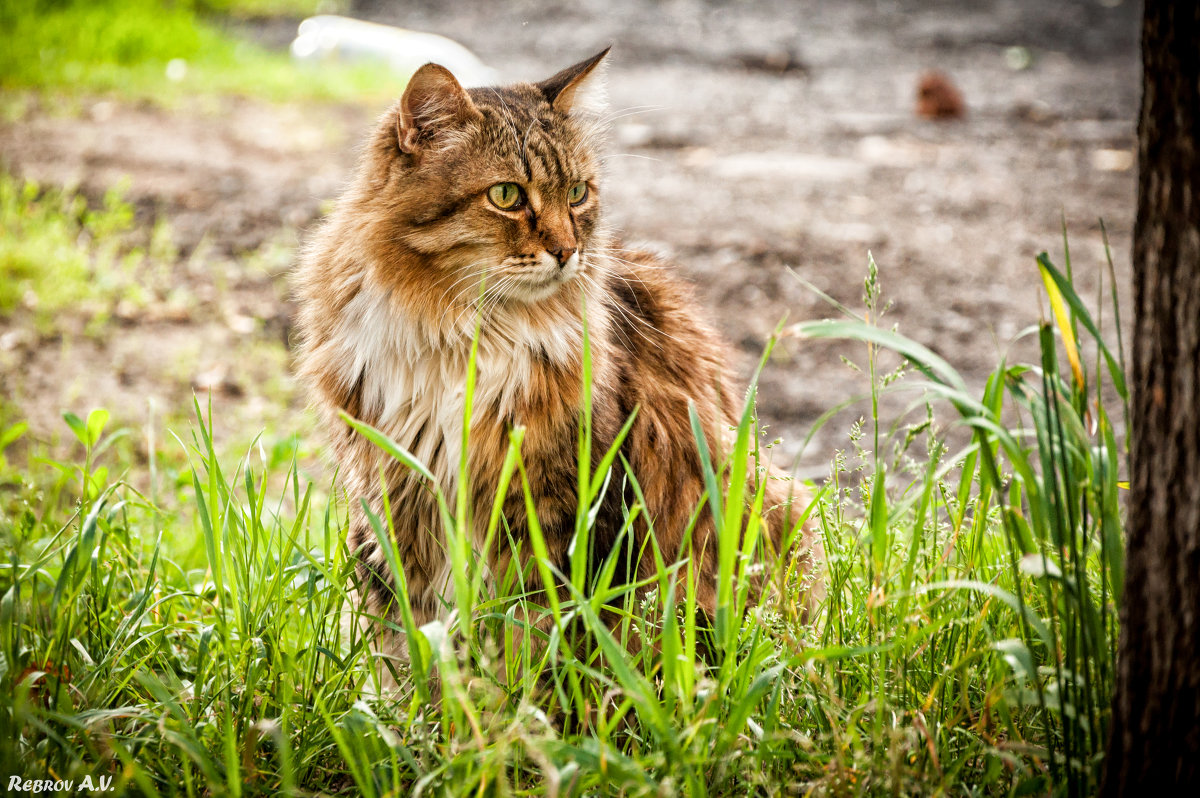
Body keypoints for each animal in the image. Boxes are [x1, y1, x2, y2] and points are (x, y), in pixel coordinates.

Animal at [295, 46, 820, 662]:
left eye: (577, 194)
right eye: (506, 195)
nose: (568, 250)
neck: (465, 335)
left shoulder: (566, 506)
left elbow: (541, 642)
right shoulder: (389, 501)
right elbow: (407, 647)